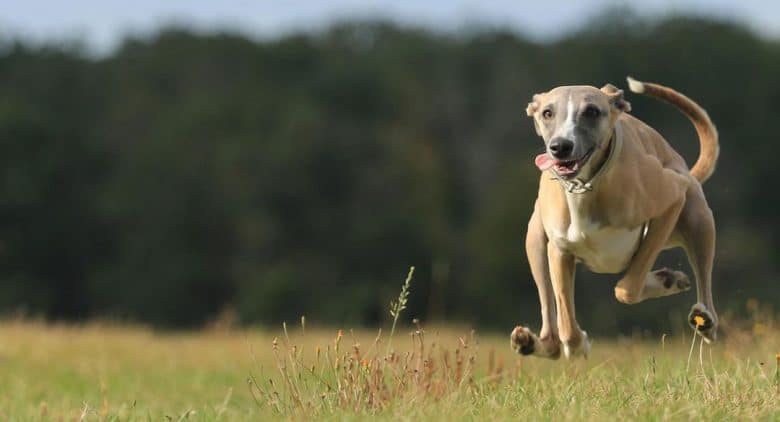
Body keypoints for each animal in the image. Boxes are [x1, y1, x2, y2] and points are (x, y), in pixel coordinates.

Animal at [512, 77, 720, 358]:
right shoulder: (560, 251)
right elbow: (567, 325)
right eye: (547, 113)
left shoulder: (672, 199)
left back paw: (702, 317)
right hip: (534, 240)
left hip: (698, 221)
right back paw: (532, 343)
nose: (560, 147)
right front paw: (579, 344)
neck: (586, 187)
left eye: (591, 111)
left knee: (703, 286)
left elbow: (626, 289)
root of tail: (688, 170)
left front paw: (663, 281)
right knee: (553, 336)